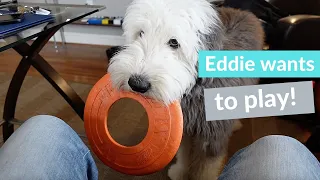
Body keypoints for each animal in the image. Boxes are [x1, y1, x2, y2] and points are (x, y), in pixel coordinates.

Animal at [106, 0, 264, 179]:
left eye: (174, 43)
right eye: (140, 33)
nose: (137, 83)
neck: (196, 89)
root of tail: (243, 12)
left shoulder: (212, 136)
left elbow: (207, 167)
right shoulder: (184, 126)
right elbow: (183, 152)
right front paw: (180, 172)